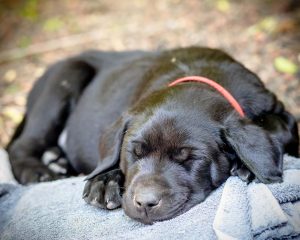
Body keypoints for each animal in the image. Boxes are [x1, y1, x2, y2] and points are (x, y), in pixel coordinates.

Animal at [6, 47, 298, 225]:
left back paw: (56, 160)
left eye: (190, 159)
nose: (145, 203)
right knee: (21, 144)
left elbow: (274, 127)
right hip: (64, 78)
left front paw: (246, 164)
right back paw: (39, 171)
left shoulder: (280, 112)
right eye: (134, 153)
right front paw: (105, 181)